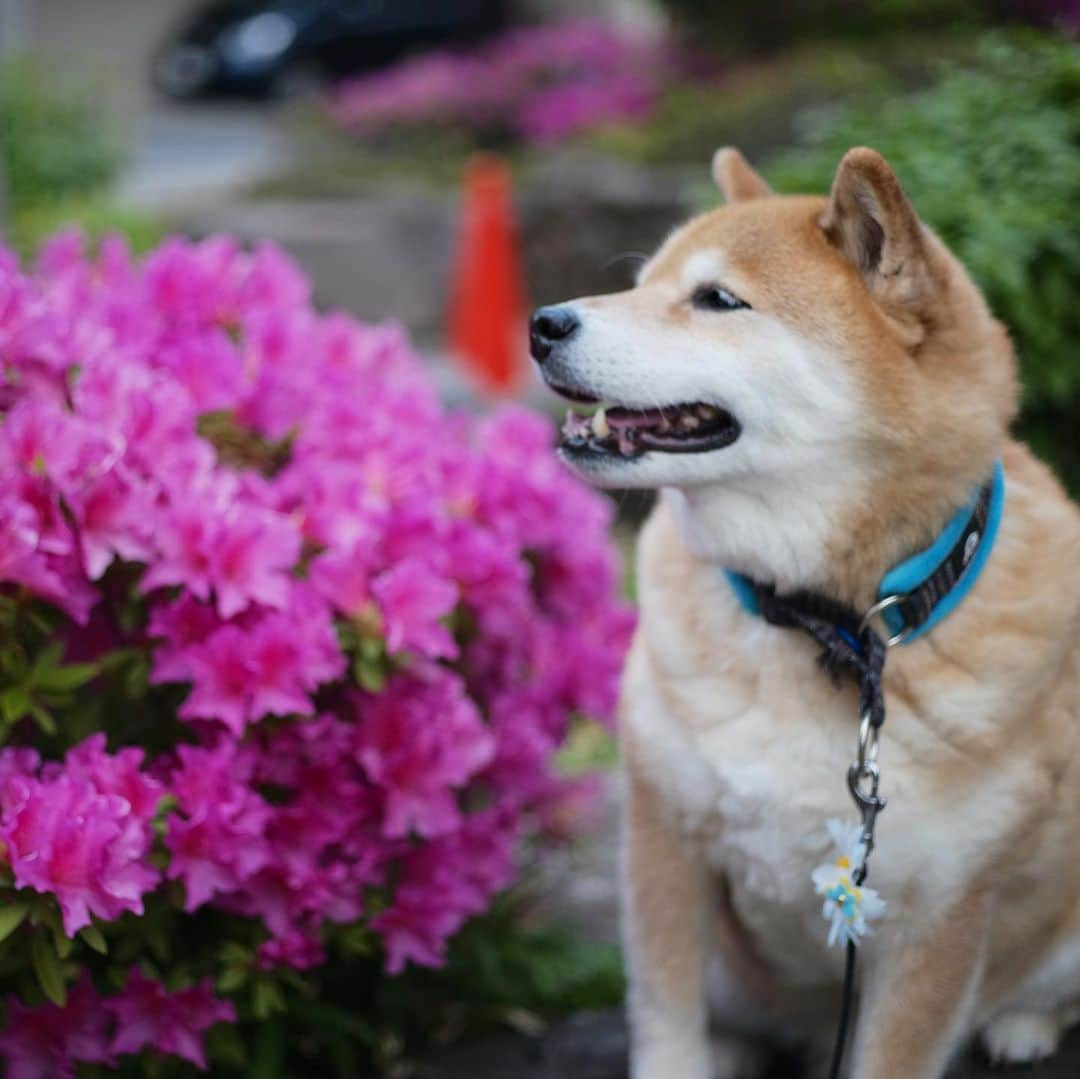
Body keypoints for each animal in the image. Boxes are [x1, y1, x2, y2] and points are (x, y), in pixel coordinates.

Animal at [527, 150, 1080, 1079]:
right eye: (643, 285)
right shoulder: (666, 841)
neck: (826, 621)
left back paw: (1024, 1026)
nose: (541, 322)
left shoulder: (939, 917)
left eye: (718, 299)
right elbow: (665, 1020)